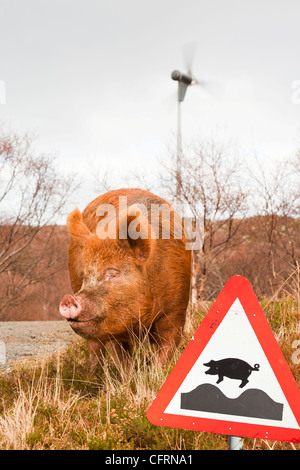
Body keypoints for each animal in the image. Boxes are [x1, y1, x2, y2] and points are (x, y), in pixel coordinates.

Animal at [59, 188, 192, 370]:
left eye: (113, 273)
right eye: (86, 275)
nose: (69, 299)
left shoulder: (175, 312)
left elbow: (166, 349)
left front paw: (155, 372)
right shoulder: (114, 326)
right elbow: (122, 360)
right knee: (94, 346)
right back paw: (92, 372)